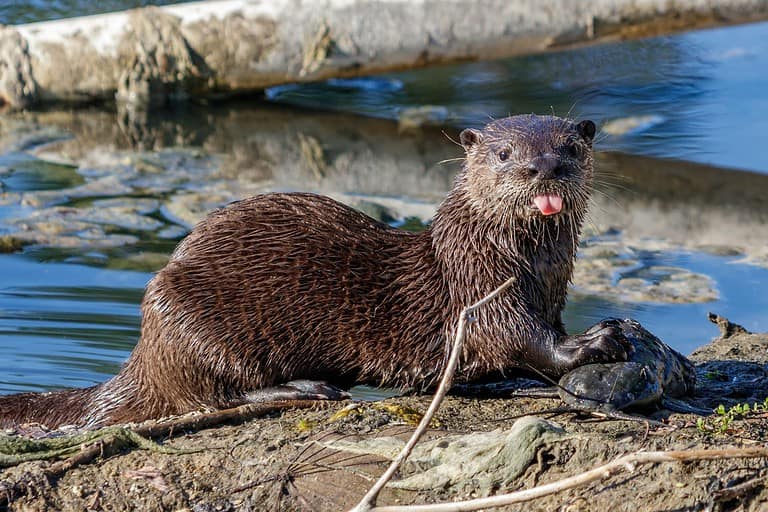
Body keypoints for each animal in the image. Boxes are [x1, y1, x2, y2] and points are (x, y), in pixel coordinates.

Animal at [0, 114, 630, 429]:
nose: (542, 168)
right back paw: (309, 387)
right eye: (503, 155)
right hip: (189, 316)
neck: (527, 268)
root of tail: (144, 352)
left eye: (570, 147)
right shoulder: (481, 290)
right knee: (212, 397)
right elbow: (520, 338)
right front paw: (592, 343)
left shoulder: (547, 292)